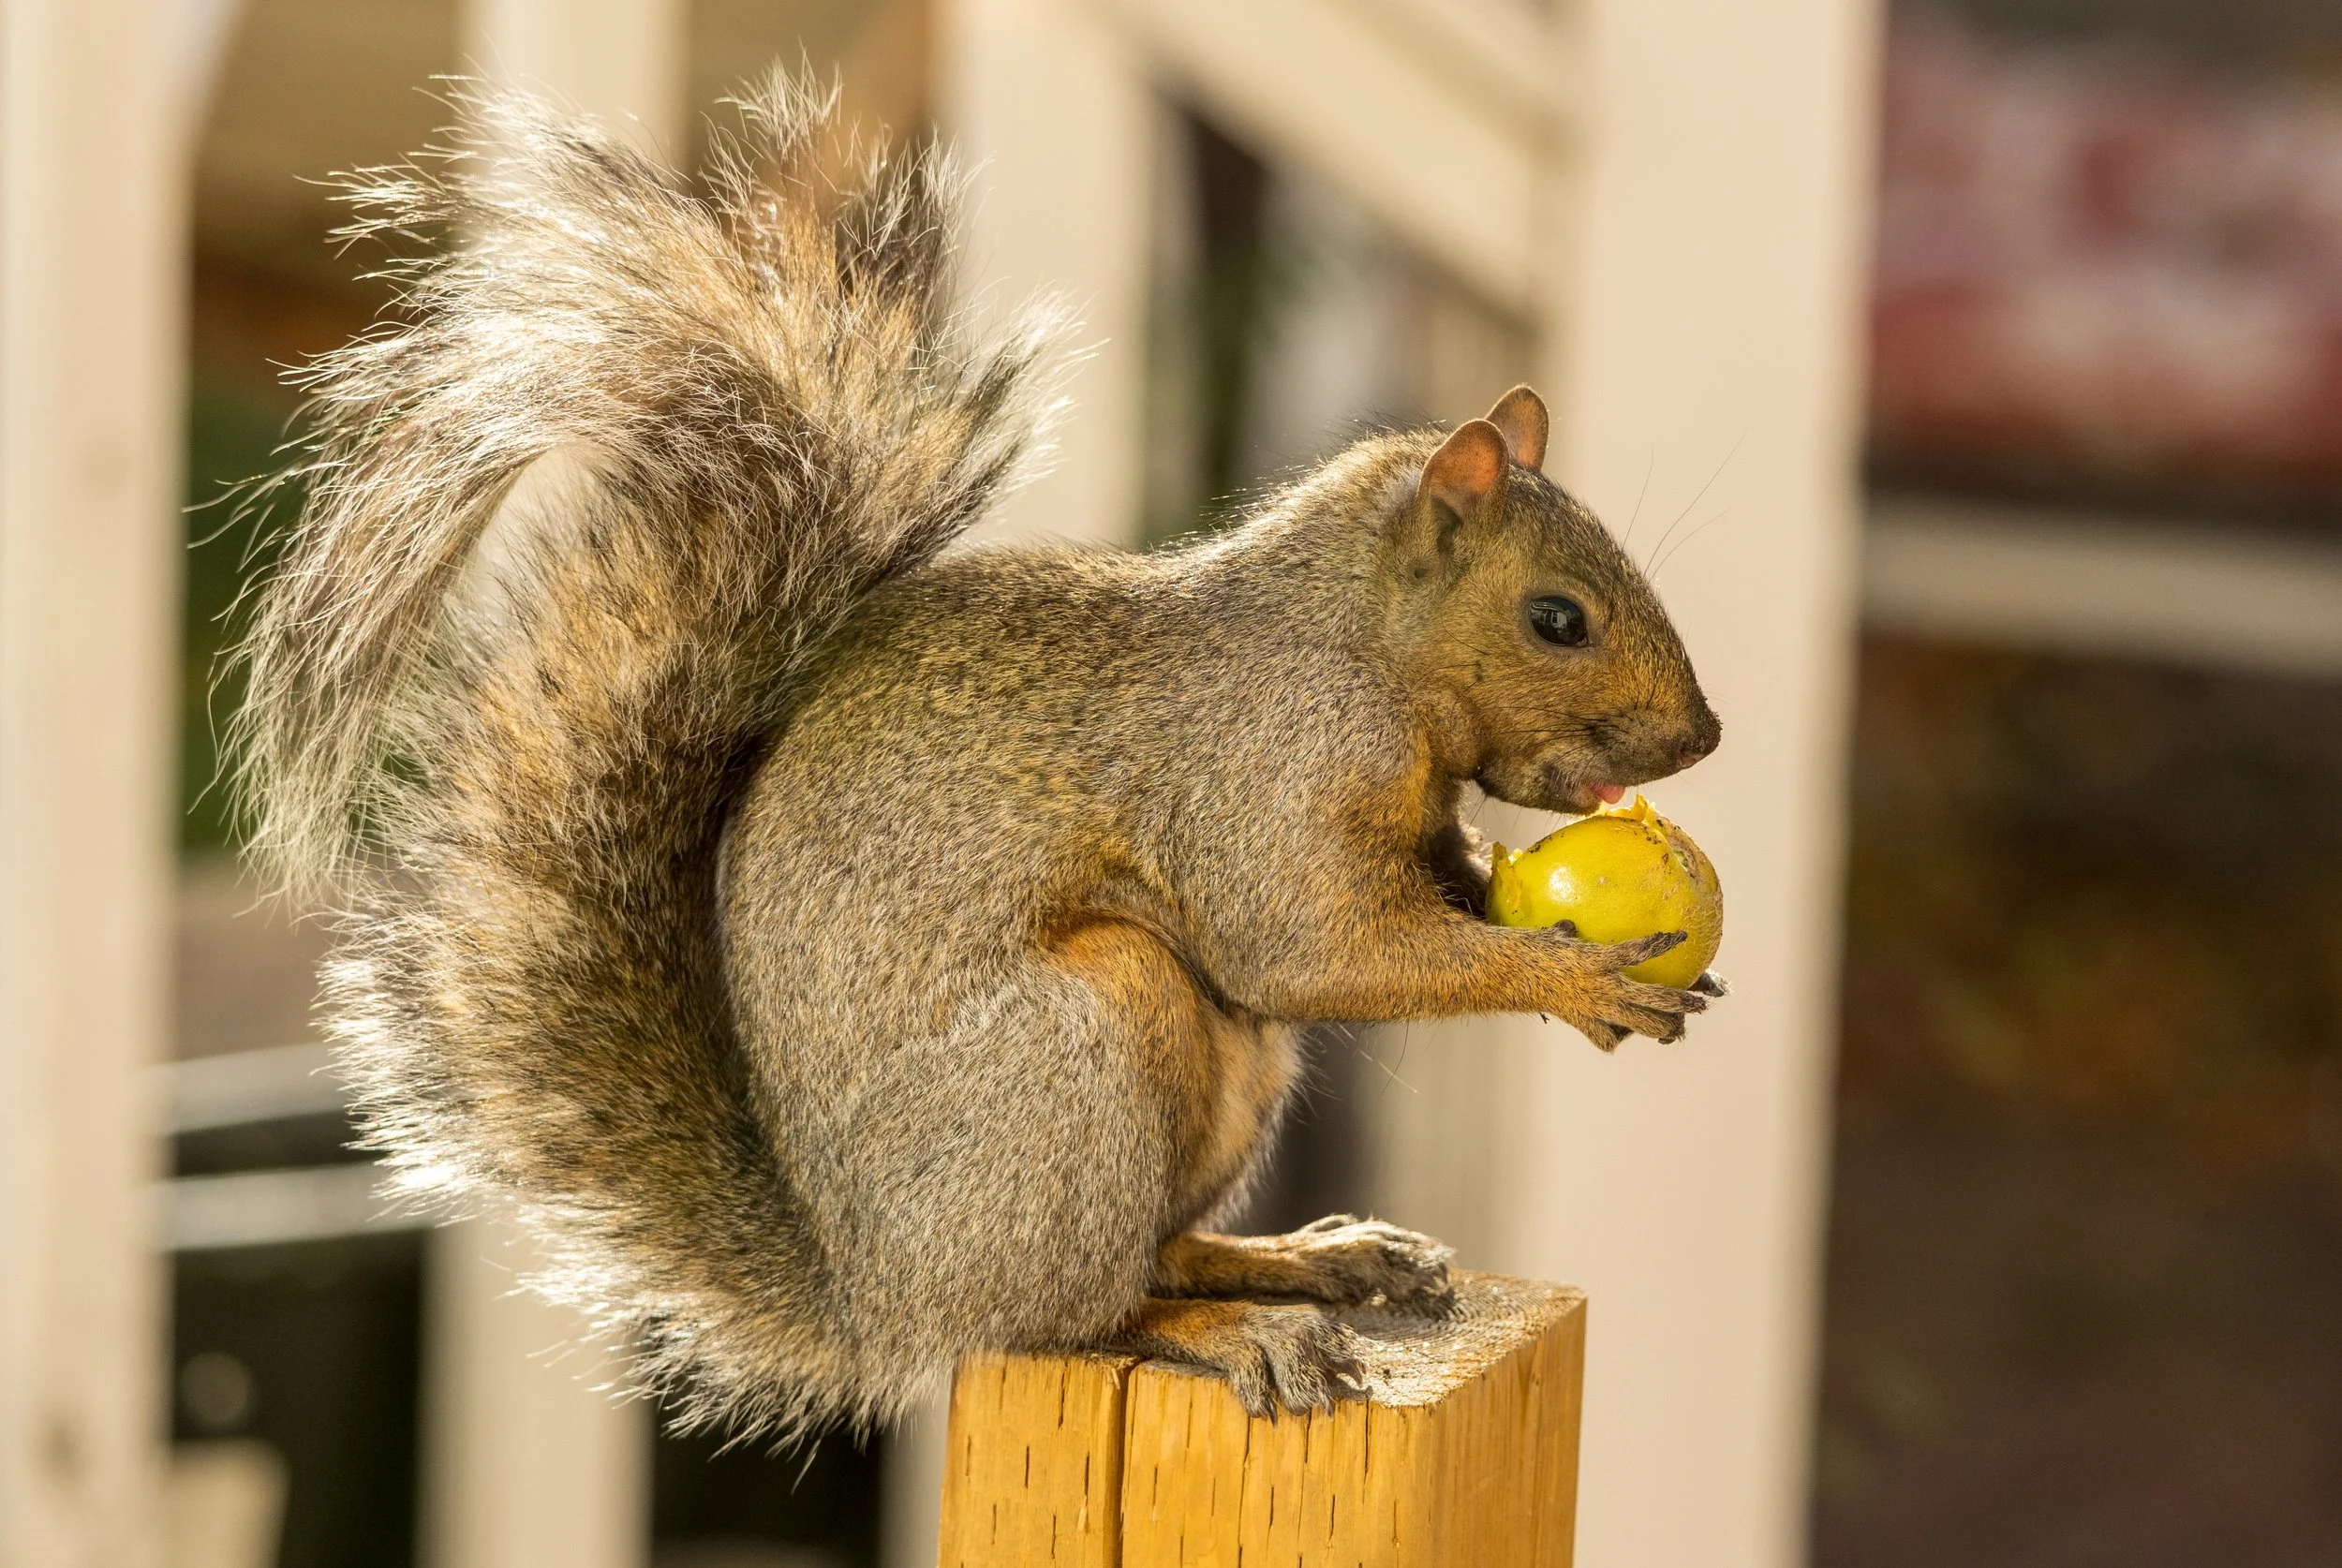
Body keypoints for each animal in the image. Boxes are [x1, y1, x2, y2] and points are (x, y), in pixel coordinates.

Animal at [233, 80, 1723, 1437]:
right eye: (1557, 618)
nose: (1702, 736)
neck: (1362, 652)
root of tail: (879, 1300)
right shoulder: (1264, 765)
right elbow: (1307, 946)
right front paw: (1570, 976)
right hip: (1086, 1047)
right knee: (1073, 1314)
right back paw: (1233, 1327)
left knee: (1153, 1254)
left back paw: (1313, 1259)